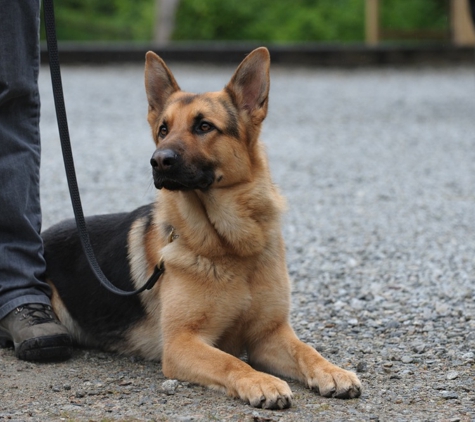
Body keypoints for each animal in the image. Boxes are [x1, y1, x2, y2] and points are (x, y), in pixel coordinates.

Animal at [42, 47, 362, 408]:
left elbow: (306, 350)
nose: (158, 160)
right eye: (163, 129)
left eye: (204, 126)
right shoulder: (182, 342)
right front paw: (262, 381)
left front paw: (332, 371)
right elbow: (230, 361)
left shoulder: (270, 334)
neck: (229, 245)